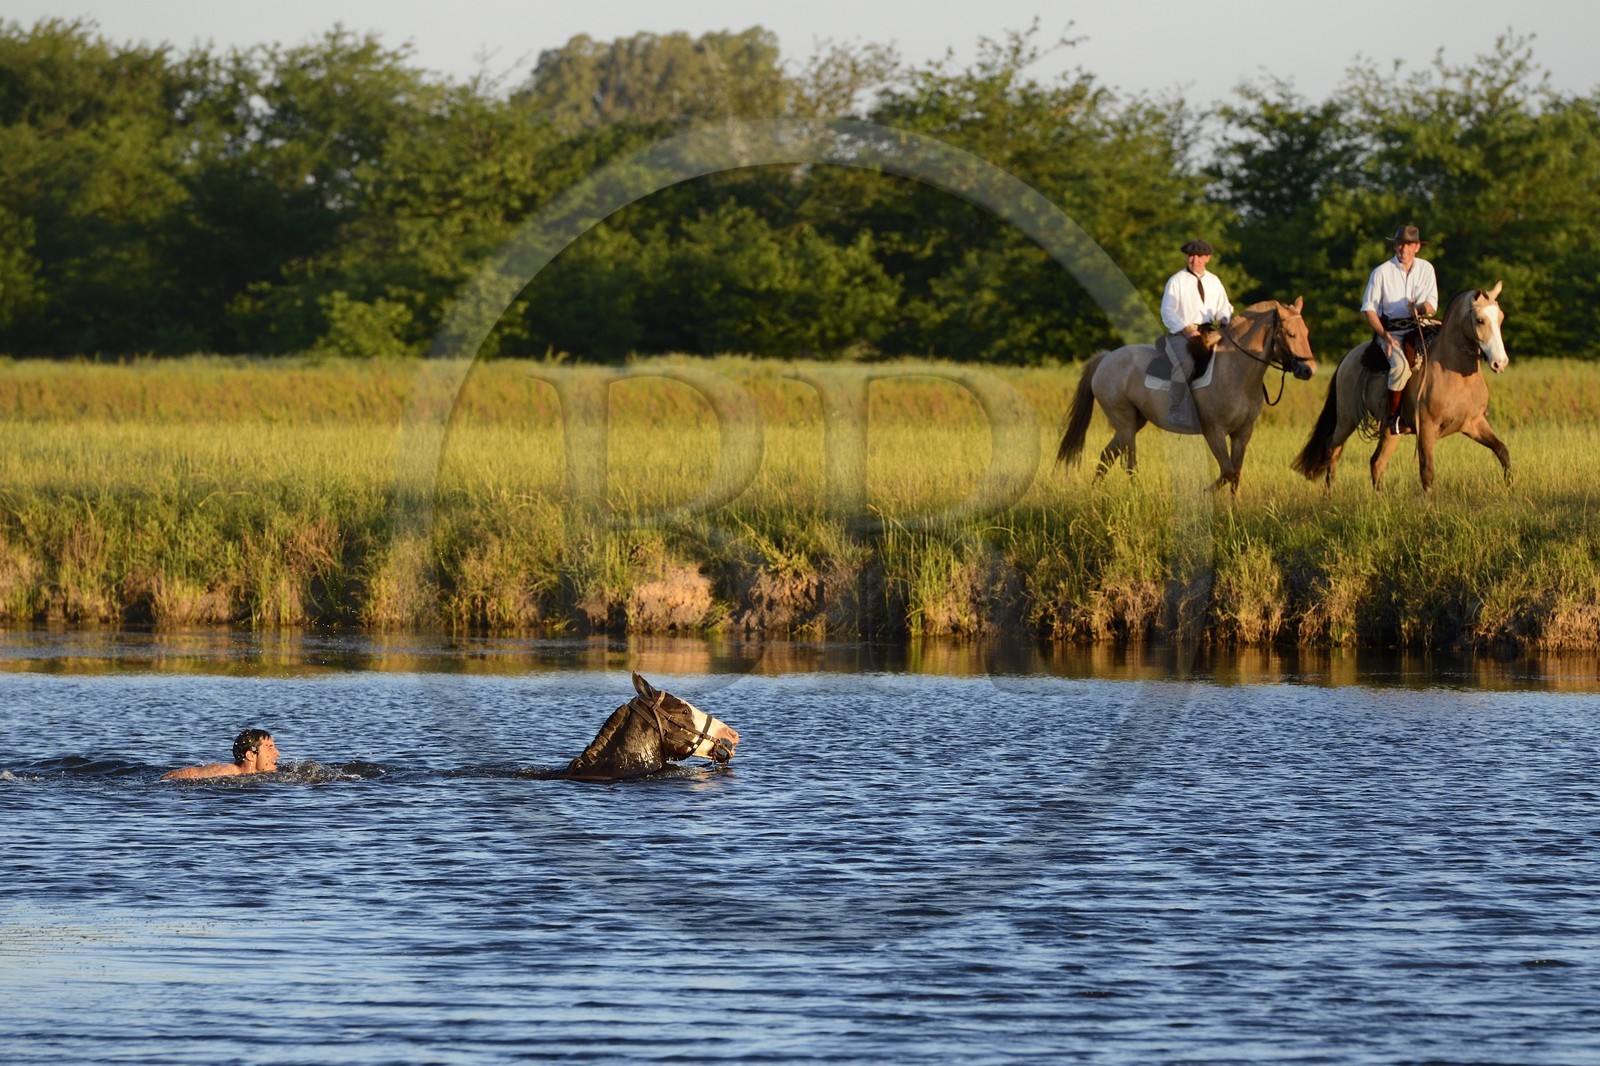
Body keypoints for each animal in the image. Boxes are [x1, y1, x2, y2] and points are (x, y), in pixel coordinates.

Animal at [1056, 299, 1318, 495]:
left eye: (1306, 332)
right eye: (1291, 334)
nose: (1309, 370)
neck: (1236, 371)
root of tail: (1106, 358)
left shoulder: (1243, 432)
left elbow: (1236, 474)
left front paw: (1234, 511)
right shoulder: (1214, 431)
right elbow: (1227, 471)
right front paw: (1202, 495)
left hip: (1134, 421)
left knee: (1107, 456)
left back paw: (1094, 495)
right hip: (1124, 421)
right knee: (1129, 464)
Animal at [1292, 283, 1509, 492]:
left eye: (1500, 318)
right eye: (1480, 320)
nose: (1500, 363)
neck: (1453, 374)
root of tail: (1349, 357)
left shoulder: (1474, 423)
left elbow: (1502, 451)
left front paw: (1509, 487)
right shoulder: (1427, 429)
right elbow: (1427, 472)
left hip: (1388, 430)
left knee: (1376, 462)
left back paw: (1379, 498)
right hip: (1347, 419)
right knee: (1333, 449)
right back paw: (1330, 493)